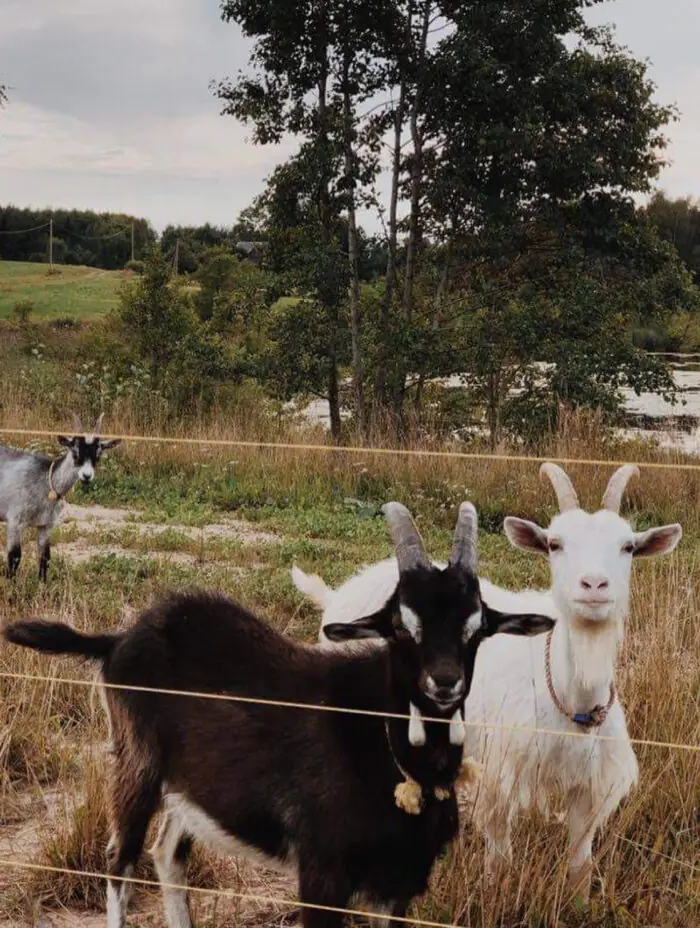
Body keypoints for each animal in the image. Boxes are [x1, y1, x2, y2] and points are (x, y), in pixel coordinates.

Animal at [0, 414, 121, 580]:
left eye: (98, 455)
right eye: (75, 451)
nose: (86, 476)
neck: (46, 480)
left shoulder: (46, 526)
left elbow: (45, 558)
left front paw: (42, 585)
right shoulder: (15, 521)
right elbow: (14, 558)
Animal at [4, 504, 552, 924]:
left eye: (477, 627)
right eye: (400, 624)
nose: (443, 683)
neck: (391, 754)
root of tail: (117, 639)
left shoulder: (397, 885)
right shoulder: (322, 877)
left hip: (193, 785)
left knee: (168, 853)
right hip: (136, 763)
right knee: (120, 860)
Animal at [464, 464, 684, 900]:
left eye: (628, 547)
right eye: (554, 543)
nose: (594, 585)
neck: (572, 698)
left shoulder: (590, 784)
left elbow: (580, 860)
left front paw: (579, 903)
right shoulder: (500, 772)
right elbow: (498, 855)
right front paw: (493, 892)